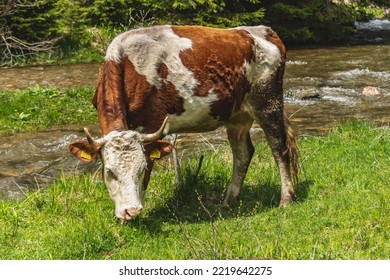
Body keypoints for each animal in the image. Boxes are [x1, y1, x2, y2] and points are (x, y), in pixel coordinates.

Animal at [68, 24, 298, 221]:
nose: (130, 211)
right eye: (109, 172)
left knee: (279, 148)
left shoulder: (152, 125)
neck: (129, 65)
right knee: (243, 153)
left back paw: (285, 199)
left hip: (268, 102)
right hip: (236, 115)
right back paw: (228, 201)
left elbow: (147, 176)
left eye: (140, 169)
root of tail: (263, 30)